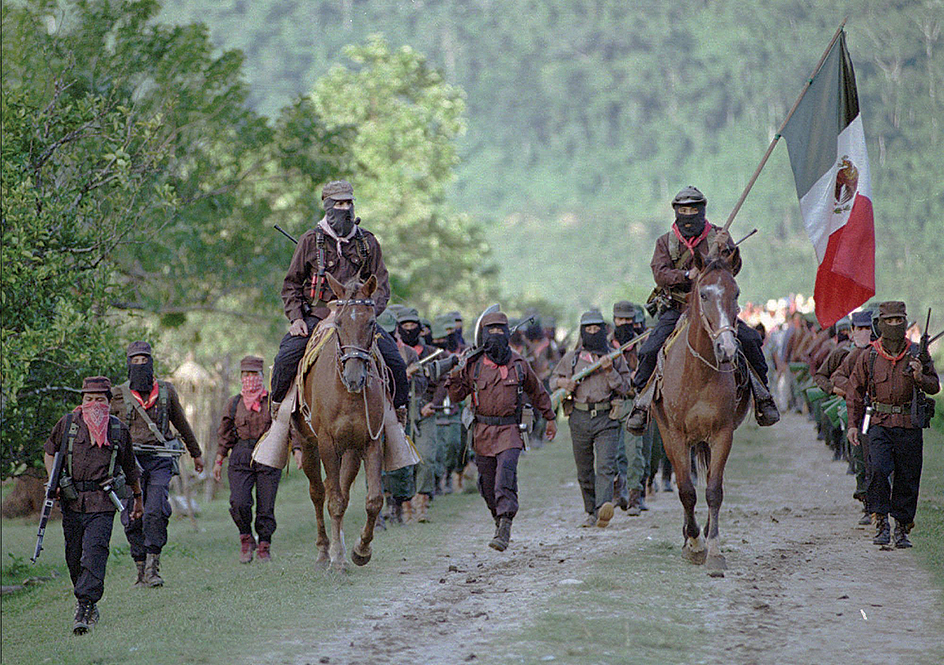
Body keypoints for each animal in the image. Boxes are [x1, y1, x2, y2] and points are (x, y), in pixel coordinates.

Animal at [294, 272, 386, 572]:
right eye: (339, 323)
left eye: (371, 322)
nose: (354, 377)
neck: (347, 394)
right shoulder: (327, 443)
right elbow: (332, 500)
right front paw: (335, 559)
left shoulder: (370, 441)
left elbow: (373, 500)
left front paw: (360, 550)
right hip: (309, 446)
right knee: (318, 493)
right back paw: (324, 552)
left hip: (350, 451)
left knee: (341, 493)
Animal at [652, 252, 748, 572]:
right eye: (704, 294)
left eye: (736, 293)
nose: (727, 348)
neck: (699, 372)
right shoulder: (674, 436)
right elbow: (686, 490)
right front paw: (693, 544)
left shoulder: (722, 433)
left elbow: (713, 490)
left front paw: (714, 549)